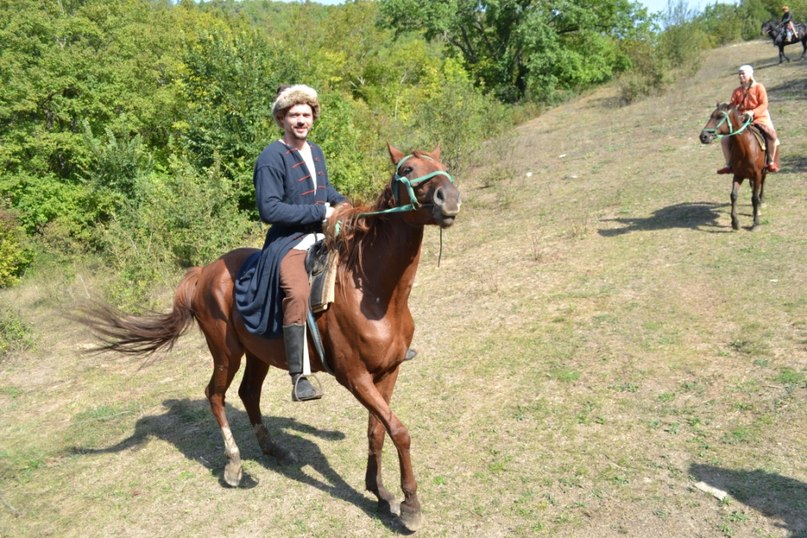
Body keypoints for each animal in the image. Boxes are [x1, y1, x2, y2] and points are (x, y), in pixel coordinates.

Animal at [79, 143, 461, 531]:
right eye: (408, 169)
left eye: (440, 164)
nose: (450, 197)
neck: (373, 293)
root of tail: (205, 272)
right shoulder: (355, 377)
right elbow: (399, 431)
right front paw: (410, 505)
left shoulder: (388, 372)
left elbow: (377, 431)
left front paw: (380, 493)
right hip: (226, 354)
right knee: (215, 395)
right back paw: (235, 466)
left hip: (257, 355)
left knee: (248, 394)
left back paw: (273, 449)